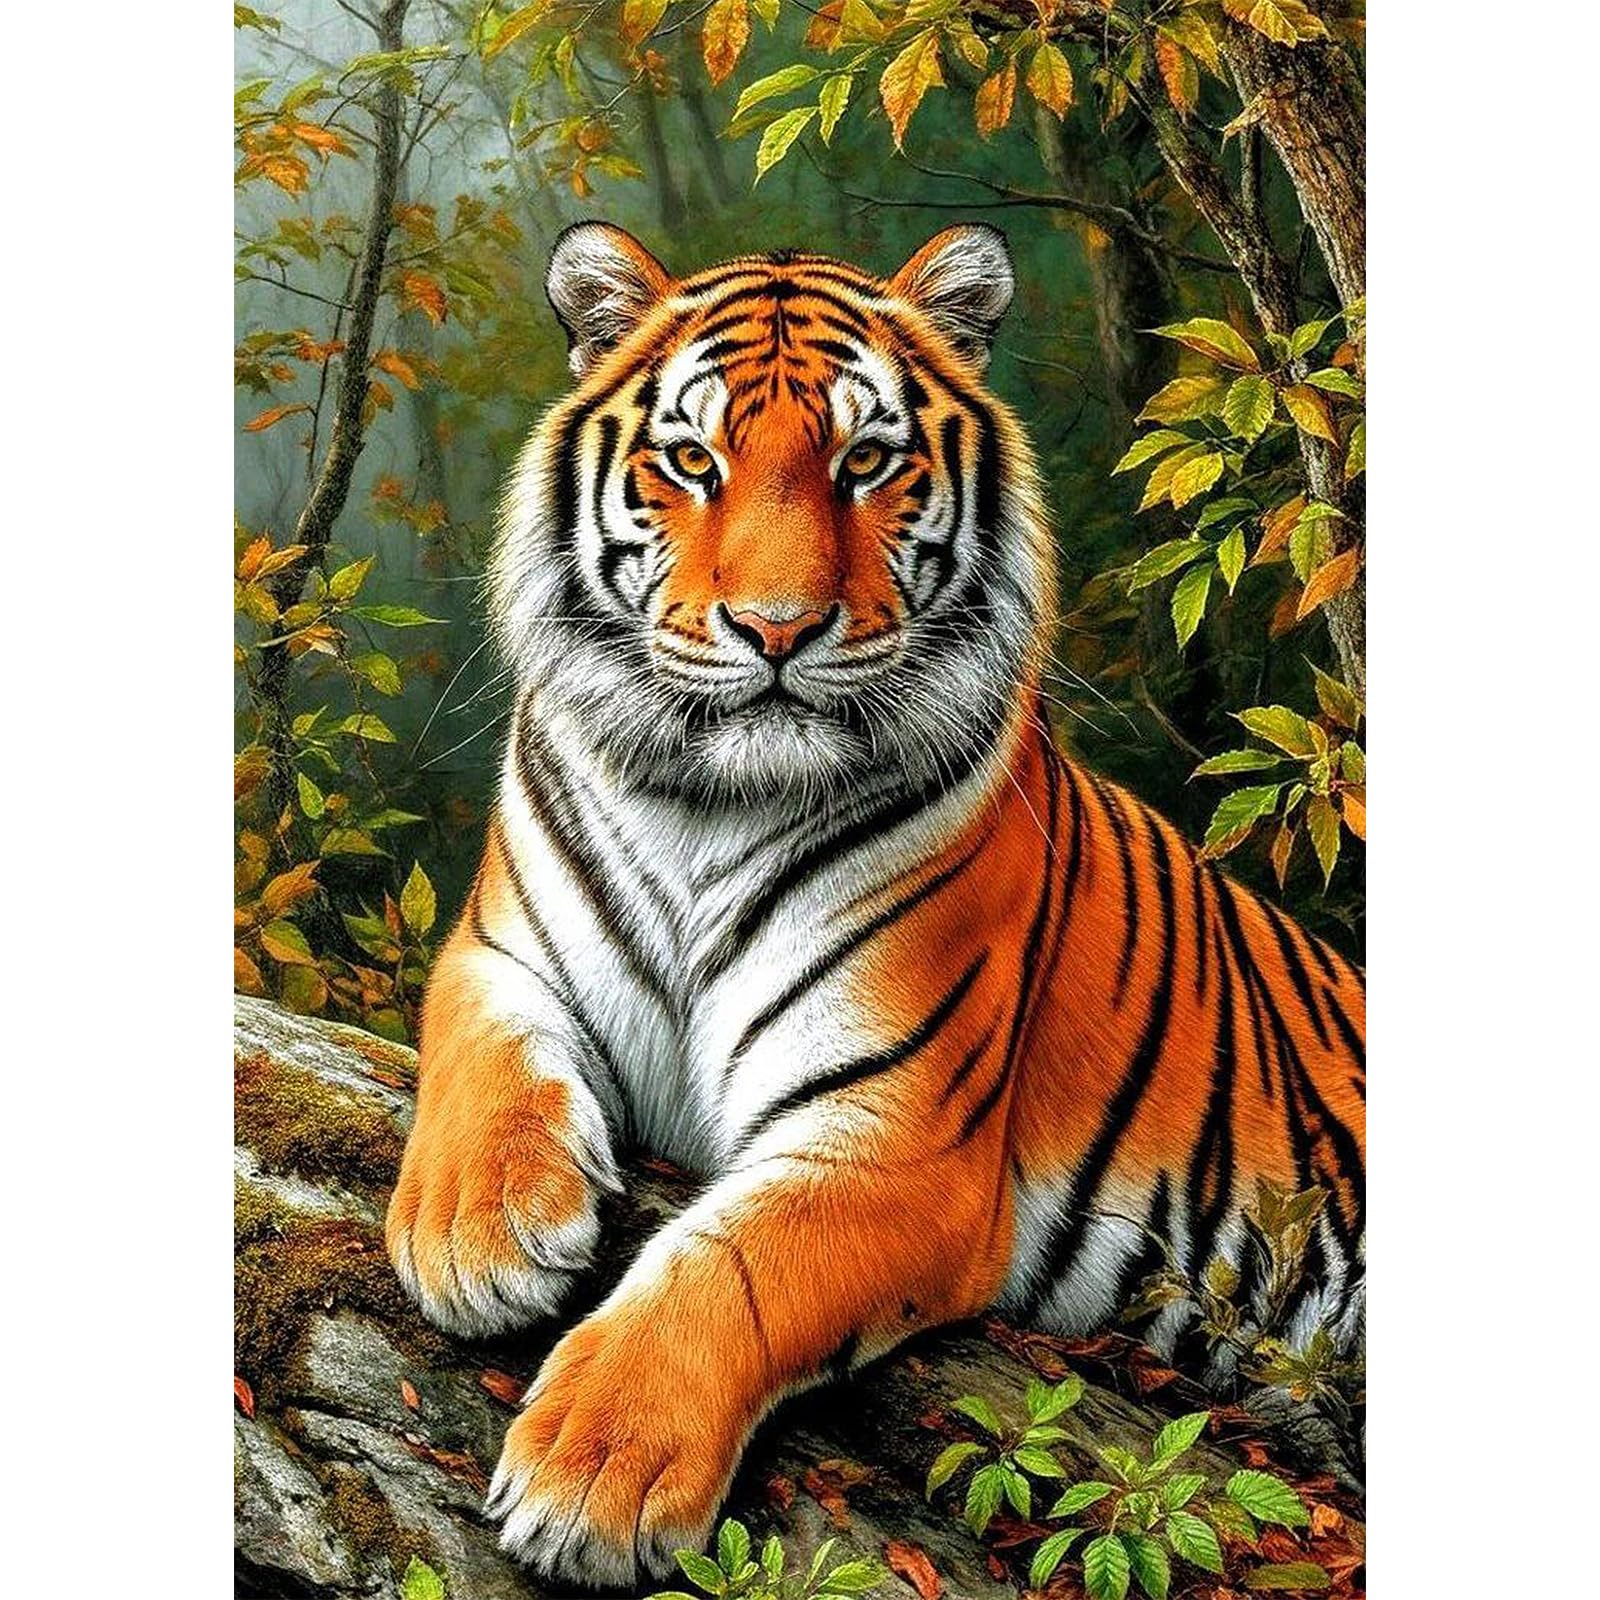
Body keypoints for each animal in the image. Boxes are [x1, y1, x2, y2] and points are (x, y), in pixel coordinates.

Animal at [384, 221, 1366, 1588]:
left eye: (865, 462)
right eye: (691, 461)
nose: (777, 629)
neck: (704, 806)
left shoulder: (895, 1133)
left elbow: (727, 1270)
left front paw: (594, 1467)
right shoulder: (497, 952)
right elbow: (481, 1061)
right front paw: (475, 1235)